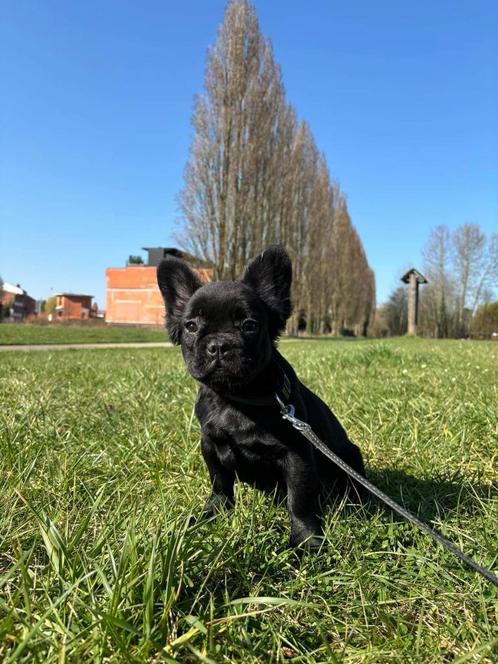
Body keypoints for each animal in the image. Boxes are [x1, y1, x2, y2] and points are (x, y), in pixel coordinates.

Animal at [157, 246, 366, 548]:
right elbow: (219, 484)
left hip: (349, 458)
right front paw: (211, 515)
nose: (218, 345)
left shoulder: (297, 456)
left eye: (249, 325)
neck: (237, 397)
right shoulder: (210, 445)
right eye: (191, 326)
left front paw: (306, 541)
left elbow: (300, 500)